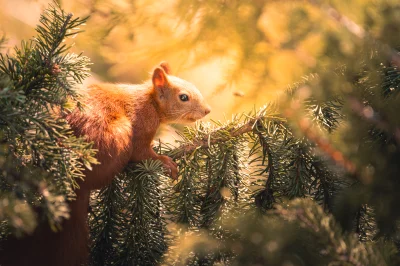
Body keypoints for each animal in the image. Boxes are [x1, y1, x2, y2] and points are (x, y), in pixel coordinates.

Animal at [0, 61, 211, 264]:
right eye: (183, 97)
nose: (207, 110)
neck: (150, 101)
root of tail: (78, 178)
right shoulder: (143, 125)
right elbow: (142, 153)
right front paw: (165, 161)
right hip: (120, 135)